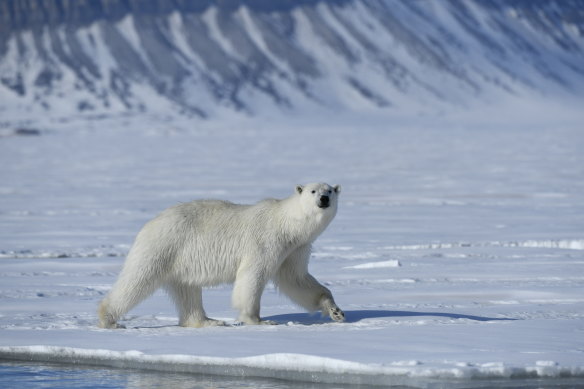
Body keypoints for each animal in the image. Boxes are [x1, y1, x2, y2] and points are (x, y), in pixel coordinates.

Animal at [96, 182, 342, 328]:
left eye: (329, 190)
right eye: (313, 191)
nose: (324, 199)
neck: (287, 224)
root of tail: (149, 224)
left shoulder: (295, 249)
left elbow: (297, 279)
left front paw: (335, 311)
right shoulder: (266, 241)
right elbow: (253, 276)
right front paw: (257, 320)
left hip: (179, 258)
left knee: (187, 290)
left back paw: (208, 321)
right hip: (163, 246)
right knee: (138, 280)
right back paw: (109, 319)